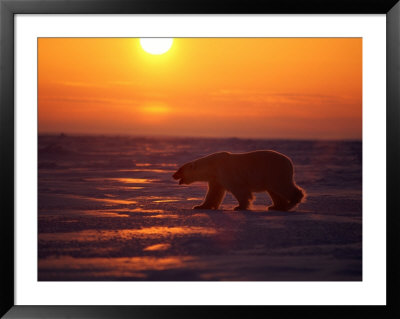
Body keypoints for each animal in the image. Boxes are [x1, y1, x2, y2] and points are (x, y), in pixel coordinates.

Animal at [172, 151, 306, 211]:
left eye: (180, 169)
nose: (173, 175)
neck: (212, 166)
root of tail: (290, 161)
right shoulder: (216, 178)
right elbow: (214, 192)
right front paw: (200, 206)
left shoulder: (226, 172)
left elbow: (239, 189)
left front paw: (239, 206)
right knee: (274, 191)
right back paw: (275, 206)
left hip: (274, 171)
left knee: (282, 186)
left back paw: (290, 203)